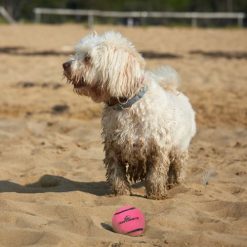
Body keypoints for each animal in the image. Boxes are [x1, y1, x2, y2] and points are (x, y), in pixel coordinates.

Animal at [62, 31, 196, 201]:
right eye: (76, 53)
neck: (126, 104)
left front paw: (156, 194)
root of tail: (173, 89)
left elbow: (156, 174)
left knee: (178, 167)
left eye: (87, 58)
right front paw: (121, 193)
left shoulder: (158, 148)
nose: (65, 65)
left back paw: (175, 184)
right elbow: (116, 174)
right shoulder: (113, 146)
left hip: (180, 148)